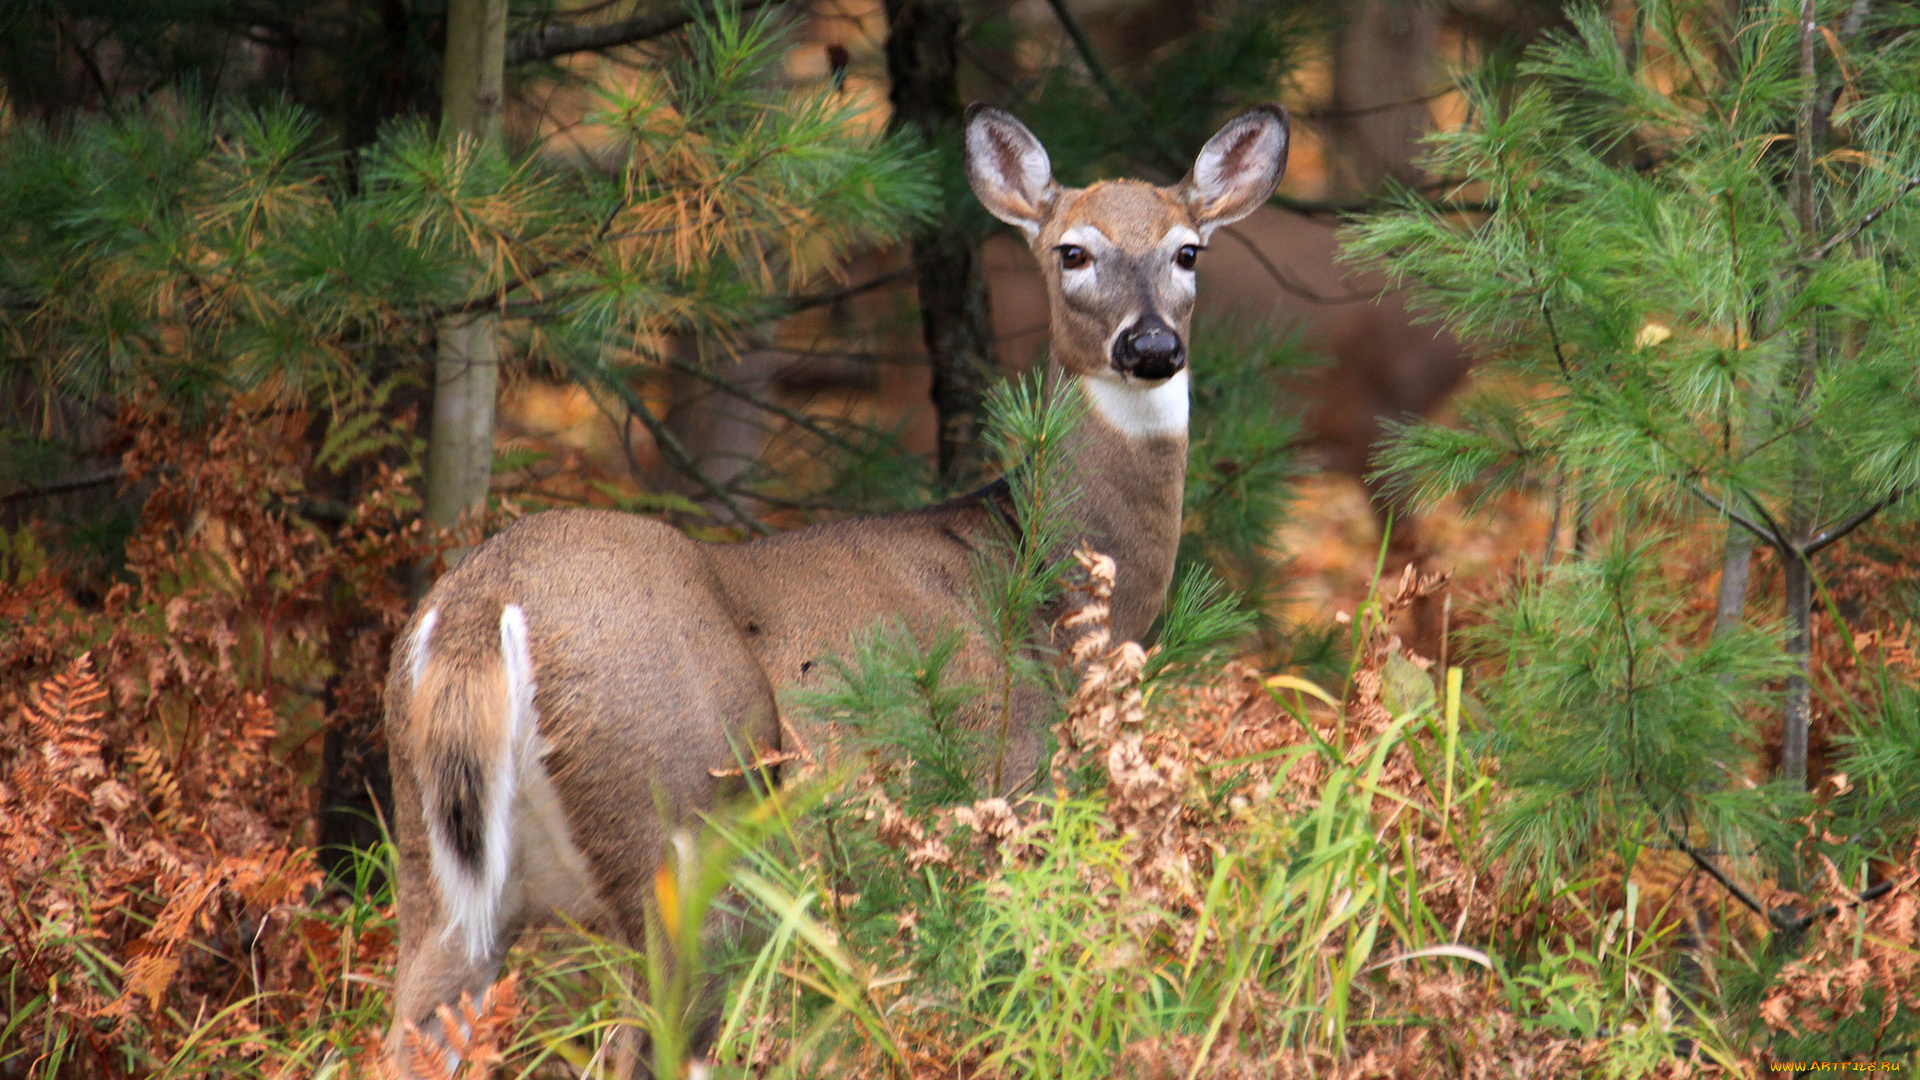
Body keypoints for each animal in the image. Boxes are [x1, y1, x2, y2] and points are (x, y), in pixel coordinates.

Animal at [382, 98, 1290, 1068]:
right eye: (1072, 252)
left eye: (1188, 251)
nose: (1150, 344)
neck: (1047, 577)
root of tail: (480, 611)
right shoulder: (1004, 784)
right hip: (680, 821)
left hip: (436, 874)